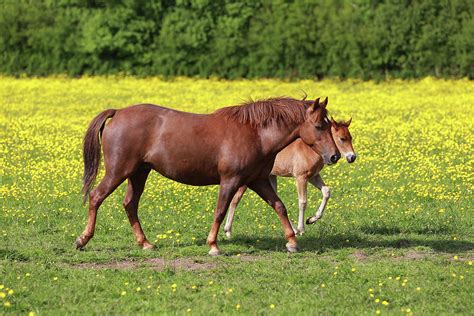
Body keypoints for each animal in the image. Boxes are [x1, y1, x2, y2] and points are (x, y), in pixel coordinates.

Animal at [76, 95, 338, 254]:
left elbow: (279, 206)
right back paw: (83, 239)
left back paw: (145, 243)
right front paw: (213, 245)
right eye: (319, 126)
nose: (334, 156)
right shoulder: (230, 181)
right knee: (96, 197)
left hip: (139, 173)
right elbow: (221, 211)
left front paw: (292, 241)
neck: (255, 133)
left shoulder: (258, 180)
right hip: (118, 171)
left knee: (130, 204)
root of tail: (118, 112)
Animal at [225, 118, 356, 237]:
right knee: (235, 199)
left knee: (274, 201)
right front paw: (302, 228)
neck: (311, 150)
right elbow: (303, 201)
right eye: (342, 138)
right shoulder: (301, 177)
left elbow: (326, 192)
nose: (352, 157)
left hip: (271, 177)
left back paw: (293, 230)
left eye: (351, 137)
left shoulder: (313, 176)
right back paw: (228, 231)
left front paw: (311, 219)